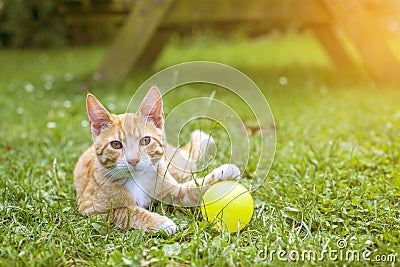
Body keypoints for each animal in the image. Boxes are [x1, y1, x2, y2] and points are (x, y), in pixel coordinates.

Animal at [73, 87, 239, 236]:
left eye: (145, 140)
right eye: (116, 144)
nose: (133, 160)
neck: (137, 180)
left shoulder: (174, 193)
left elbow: (193, 188)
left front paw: (222, 174)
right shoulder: (91, 210)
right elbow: (124, 211)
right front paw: (159, 222)